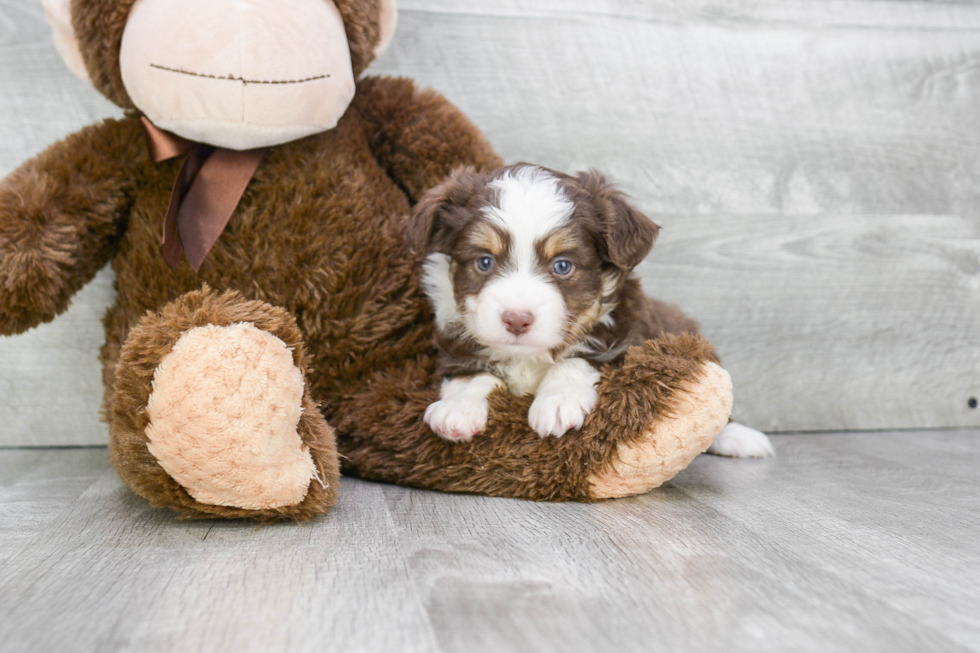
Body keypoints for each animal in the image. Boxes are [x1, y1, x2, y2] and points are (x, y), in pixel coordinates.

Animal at [406, 166, 772, 456]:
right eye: (484, 262)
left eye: (563, 265)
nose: (517, 320)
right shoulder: (457, 338)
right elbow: (471, 373)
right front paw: (456, 409)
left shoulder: (628, 339)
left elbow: (577, 360)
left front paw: (557, 403)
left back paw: (741, 439)